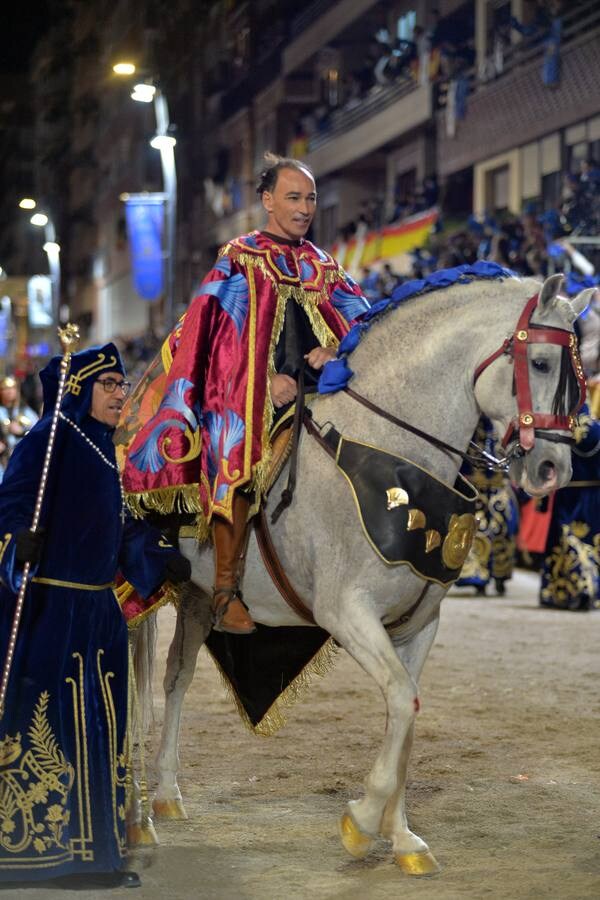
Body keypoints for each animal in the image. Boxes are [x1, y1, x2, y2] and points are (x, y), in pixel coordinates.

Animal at [136, 272, 592, 872]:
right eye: (539, 363)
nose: (552, 469)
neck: (389, 455)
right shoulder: (346, 611)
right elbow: (400, 699)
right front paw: (362, 820)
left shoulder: (417, 625)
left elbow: (408, 712)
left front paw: (402, 838)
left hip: (194, 596)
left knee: (175, 677)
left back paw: (165, 793)